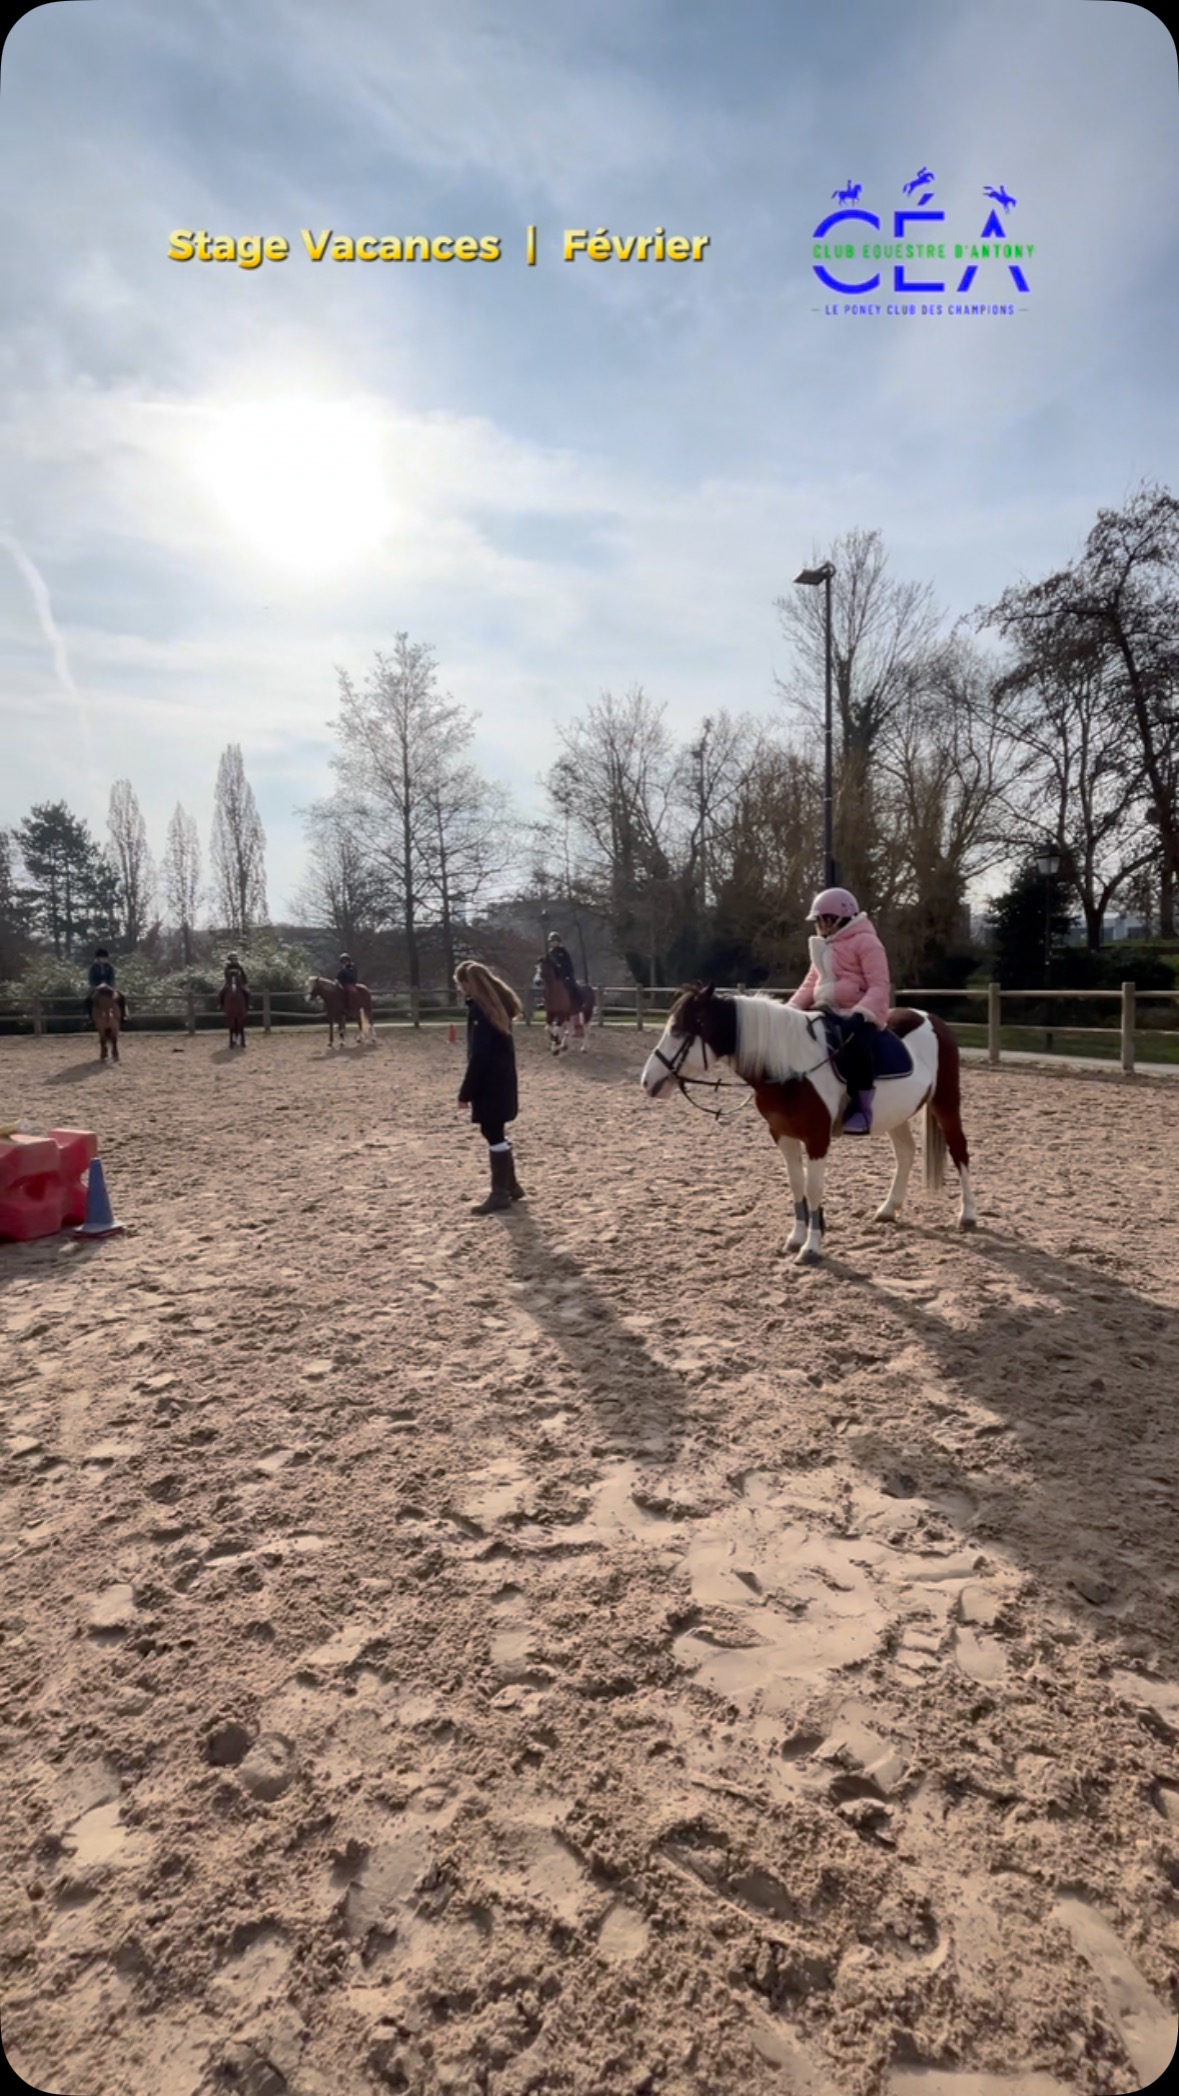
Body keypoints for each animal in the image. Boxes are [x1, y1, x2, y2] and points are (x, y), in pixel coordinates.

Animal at [639, 986, 977, 1267]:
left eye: (678, 1031)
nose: (647, 1081)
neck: (789, 1068)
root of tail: (932, 1019)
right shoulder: (783, 1136)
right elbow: (796, 1183)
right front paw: (796, 1237)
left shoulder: (817, 1139)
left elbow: (814, 1189)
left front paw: (812, 1248)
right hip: (897, 1114)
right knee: (905, 1153)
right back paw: (888, 1209)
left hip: (946, 1103)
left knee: (959, 1151)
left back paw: (967, 1215)